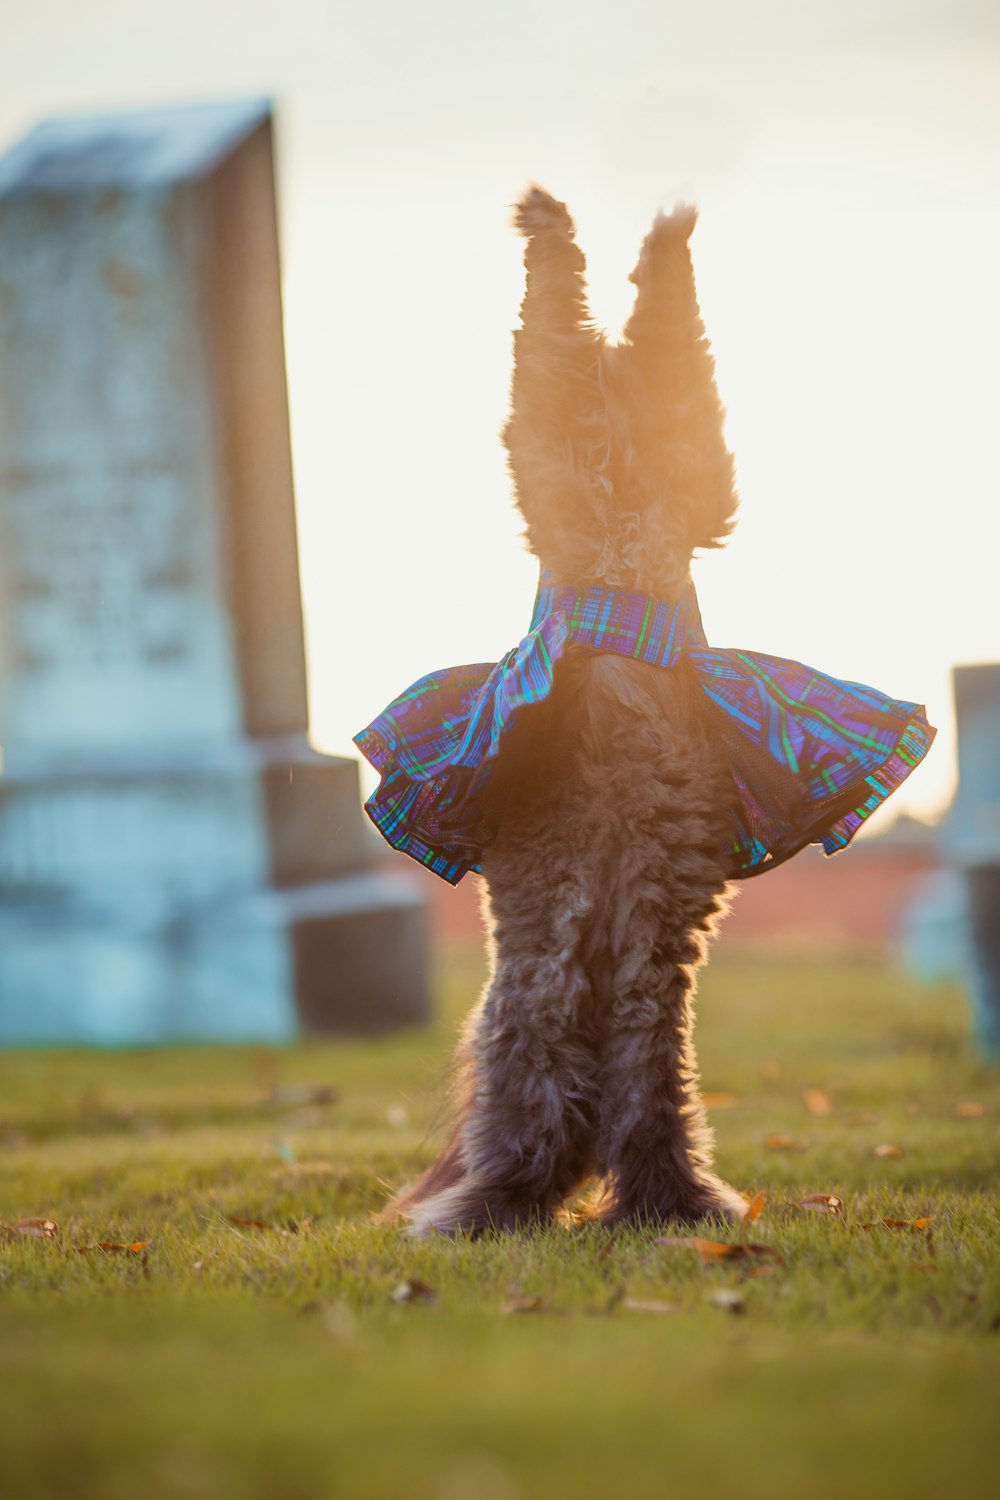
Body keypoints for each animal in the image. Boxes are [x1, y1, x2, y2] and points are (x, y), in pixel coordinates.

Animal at [358, 190, 941, 1242]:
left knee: (574, 314)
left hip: (562, 433)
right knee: (647, 328)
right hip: (673, 446)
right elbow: (644, 1127)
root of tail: (620, 534)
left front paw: (493, 1205)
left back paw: (563, 221)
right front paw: (661, 1203)